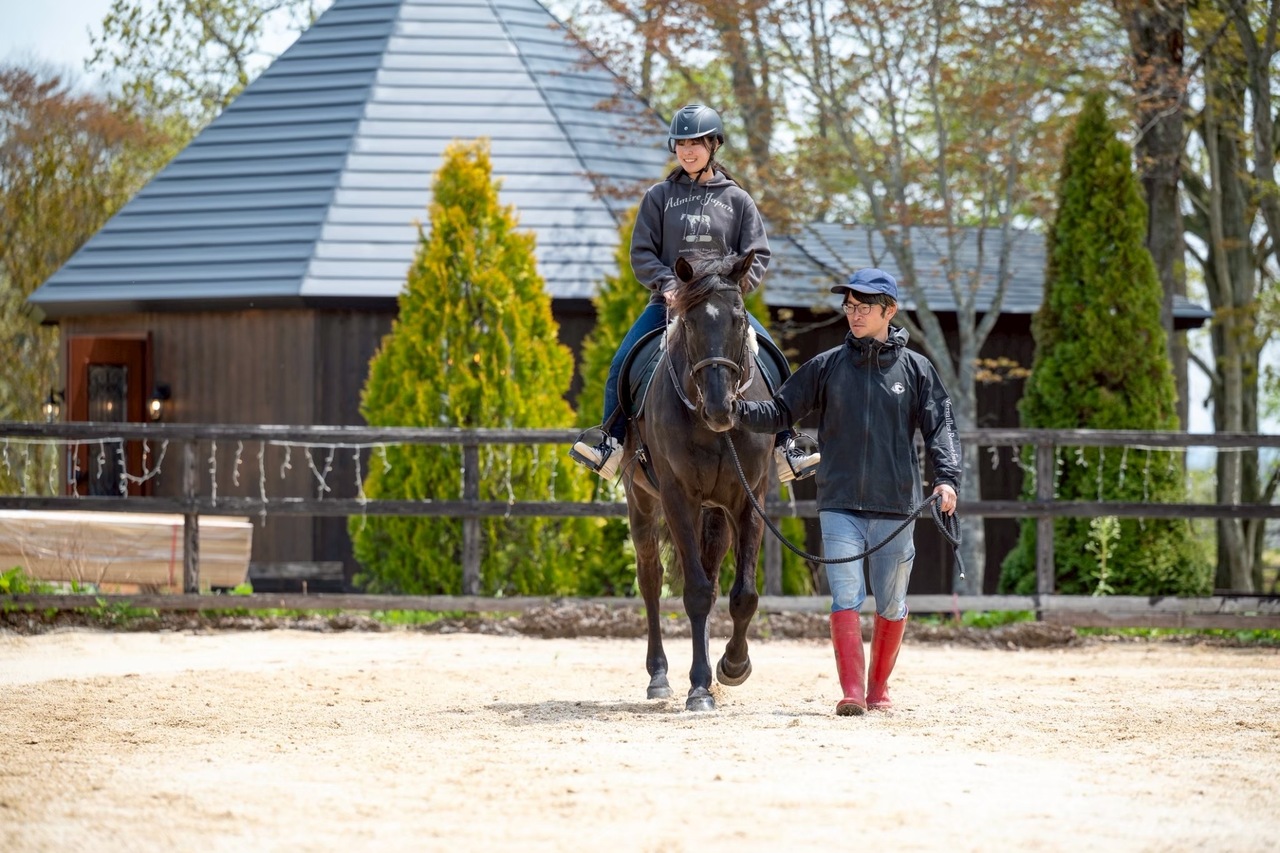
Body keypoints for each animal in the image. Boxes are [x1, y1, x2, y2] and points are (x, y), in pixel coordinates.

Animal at [621, 249, 775, 712]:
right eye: (688, 323)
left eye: (739, 318)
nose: (721, 407)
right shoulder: (678, 499)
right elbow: (695, 593)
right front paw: (700, 686)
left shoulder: (750, 499)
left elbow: (743, 594)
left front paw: (733, 666)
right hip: (641, 502)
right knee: (651, 580)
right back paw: (659, 676)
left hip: (716, 513)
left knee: (711, 573)